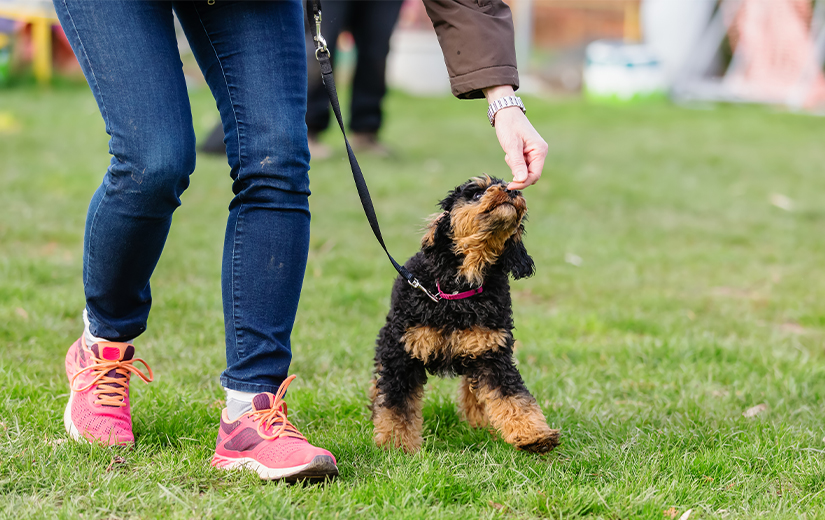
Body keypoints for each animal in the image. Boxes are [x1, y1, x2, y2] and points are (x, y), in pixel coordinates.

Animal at [368, 175, 556, 450]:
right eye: (476, 193)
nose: (512, 190)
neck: (458, 292)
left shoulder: (491, 352)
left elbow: (513, 396)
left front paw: (534, 435)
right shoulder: (402, 351)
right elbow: (396, 403)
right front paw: (396, 445)